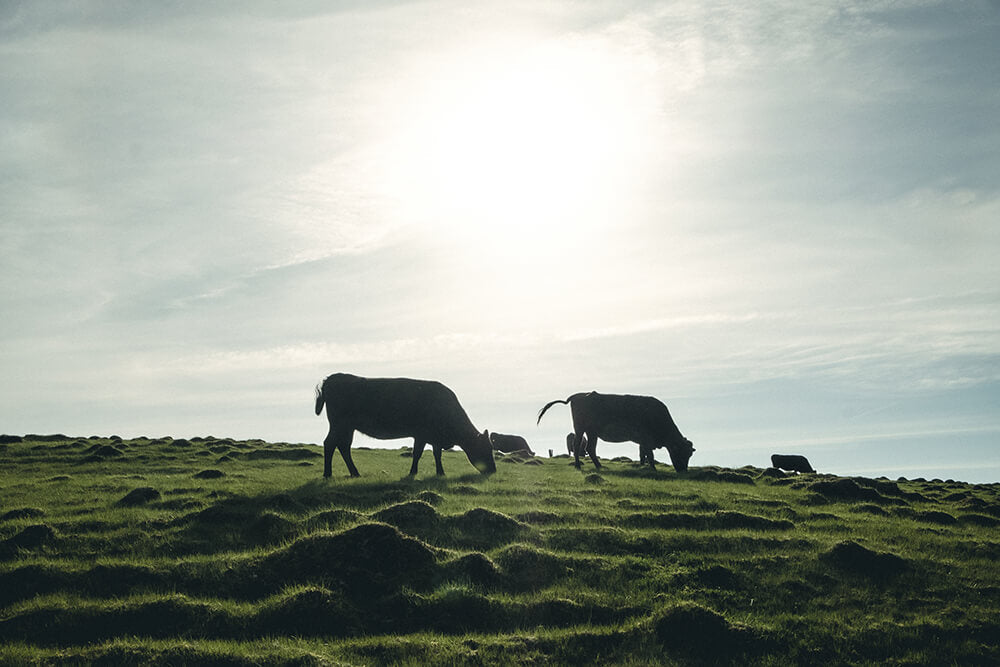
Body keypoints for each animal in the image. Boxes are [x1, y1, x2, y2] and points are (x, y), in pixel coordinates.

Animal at [314, 374, 494, 478]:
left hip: (347, 427)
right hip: (339, 424)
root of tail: (331, 378)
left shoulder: (434, 437)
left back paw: (354, 473)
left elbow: (437, 454)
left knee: (343, 446)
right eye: (485, 448)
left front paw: (440, 473)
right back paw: (328, 474)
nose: (493, 470)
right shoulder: (422, 434)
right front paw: (413, 472)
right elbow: (417, 453)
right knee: (330, 444)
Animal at [540, 388, 696, 472]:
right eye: (682, 453)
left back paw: (599, 466)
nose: (683, 471)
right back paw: (579, 466)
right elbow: (650, 456)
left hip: (591, 432)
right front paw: (653, 469)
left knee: (590, 448)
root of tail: (577, 395)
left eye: (689, 455)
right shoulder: (646, 440)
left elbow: (643, 455)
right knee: (578, 446)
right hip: (580, 429)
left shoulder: (643, 442)